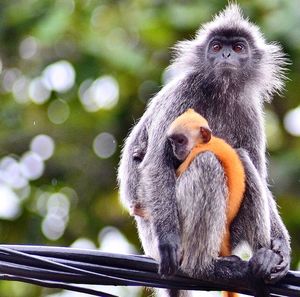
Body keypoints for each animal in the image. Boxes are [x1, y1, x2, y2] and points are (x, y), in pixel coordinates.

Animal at [168, 108, 245, 296]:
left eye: (181, 140)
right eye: (172, 142)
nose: (175, 148)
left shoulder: (193, 152)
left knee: (207, 162)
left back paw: (200, 268)